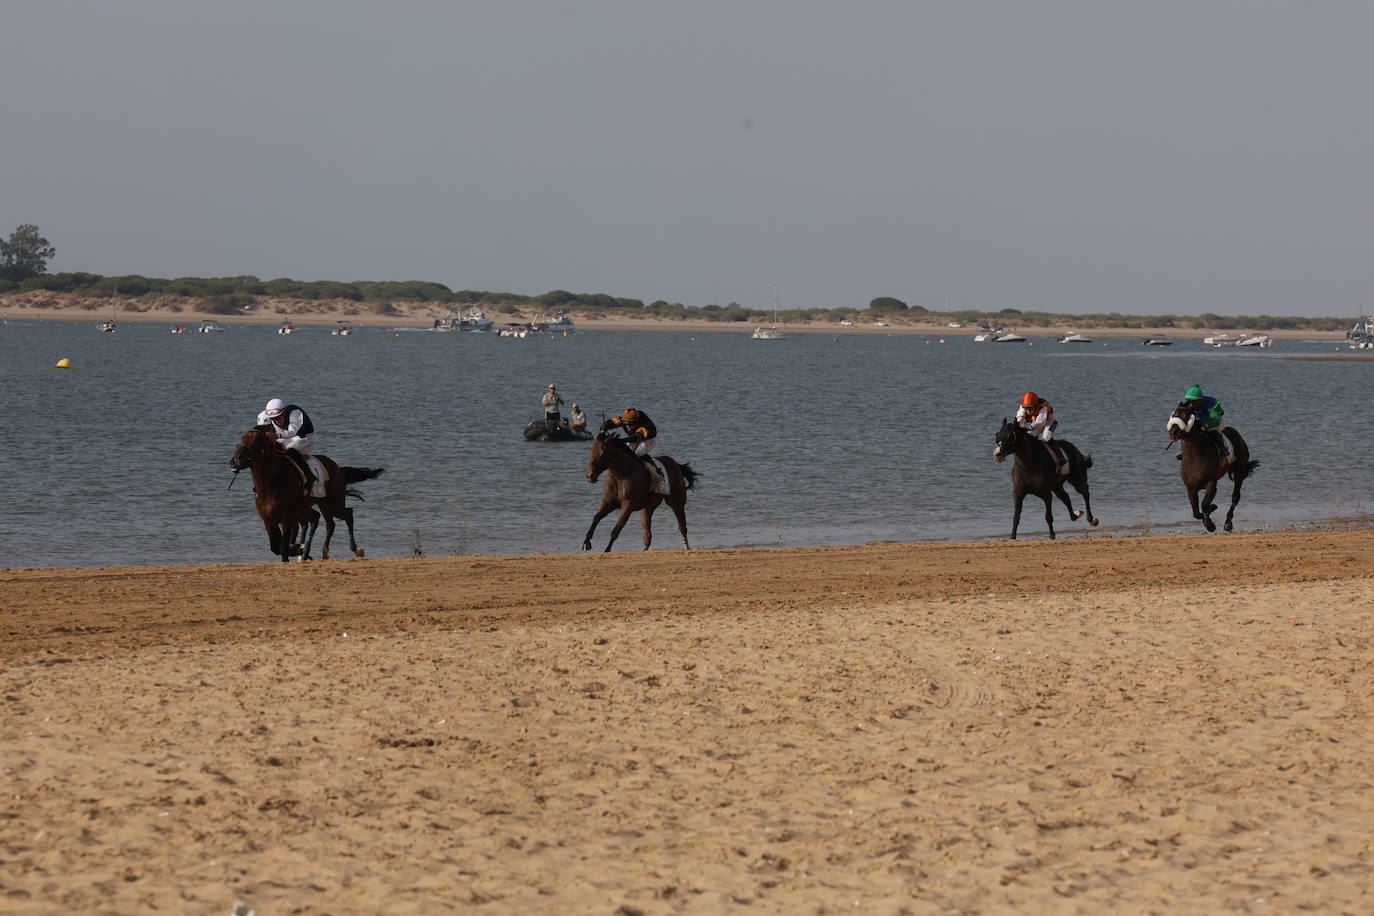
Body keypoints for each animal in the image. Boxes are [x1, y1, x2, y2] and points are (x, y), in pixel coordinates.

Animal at [229, 425, 384, 561]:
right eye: (241, 438)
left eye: (257, 441)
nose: (237, 459)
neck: (270, 485)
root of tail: (338, 469)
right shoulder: (267, 518)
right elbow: (275, 546)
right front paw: (299, 549)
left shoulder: (287, 517)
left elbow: (283, 547)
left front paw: (296, 549)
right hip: (319, 504)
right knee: (325, 522)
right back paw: (319, 552)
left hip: (334, 503)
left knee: (347, 515)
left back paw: (355, 550)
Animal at [1167, 404, 1259, 532]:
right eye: (1174, 414)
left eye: (1186, 416)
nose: (1173, 433)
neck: (1194, 460)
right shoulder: (1190, 487)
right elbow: (1196, 512)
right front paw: (1207, 520)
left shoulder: (1211, 483)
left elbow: (1204, 505)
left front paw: (1210, 520)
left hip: (1239, 471)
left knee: (1235, 496)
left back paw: (1228, 523)